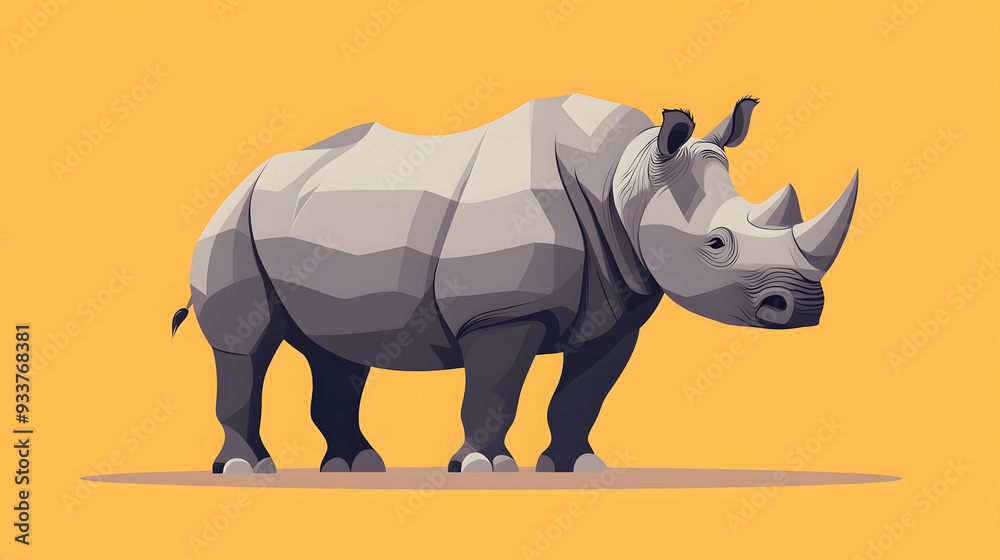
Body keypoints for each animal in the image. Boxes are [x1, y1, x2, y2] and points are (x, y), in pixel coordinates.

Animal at [173, 94, 857, 474]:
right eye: (716, 244)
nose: (802, 306)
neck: (629, 175)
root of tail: (251, 173)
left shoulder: (620, 311)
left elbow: (583, 395)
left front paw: (576, 466)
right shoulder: (500, 312)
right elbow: (495, 389)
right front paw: (484, 467)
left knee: (336, 352)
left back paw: (355, 467)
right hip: (233, 214)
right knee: (244, 345)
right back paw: (246, 471)